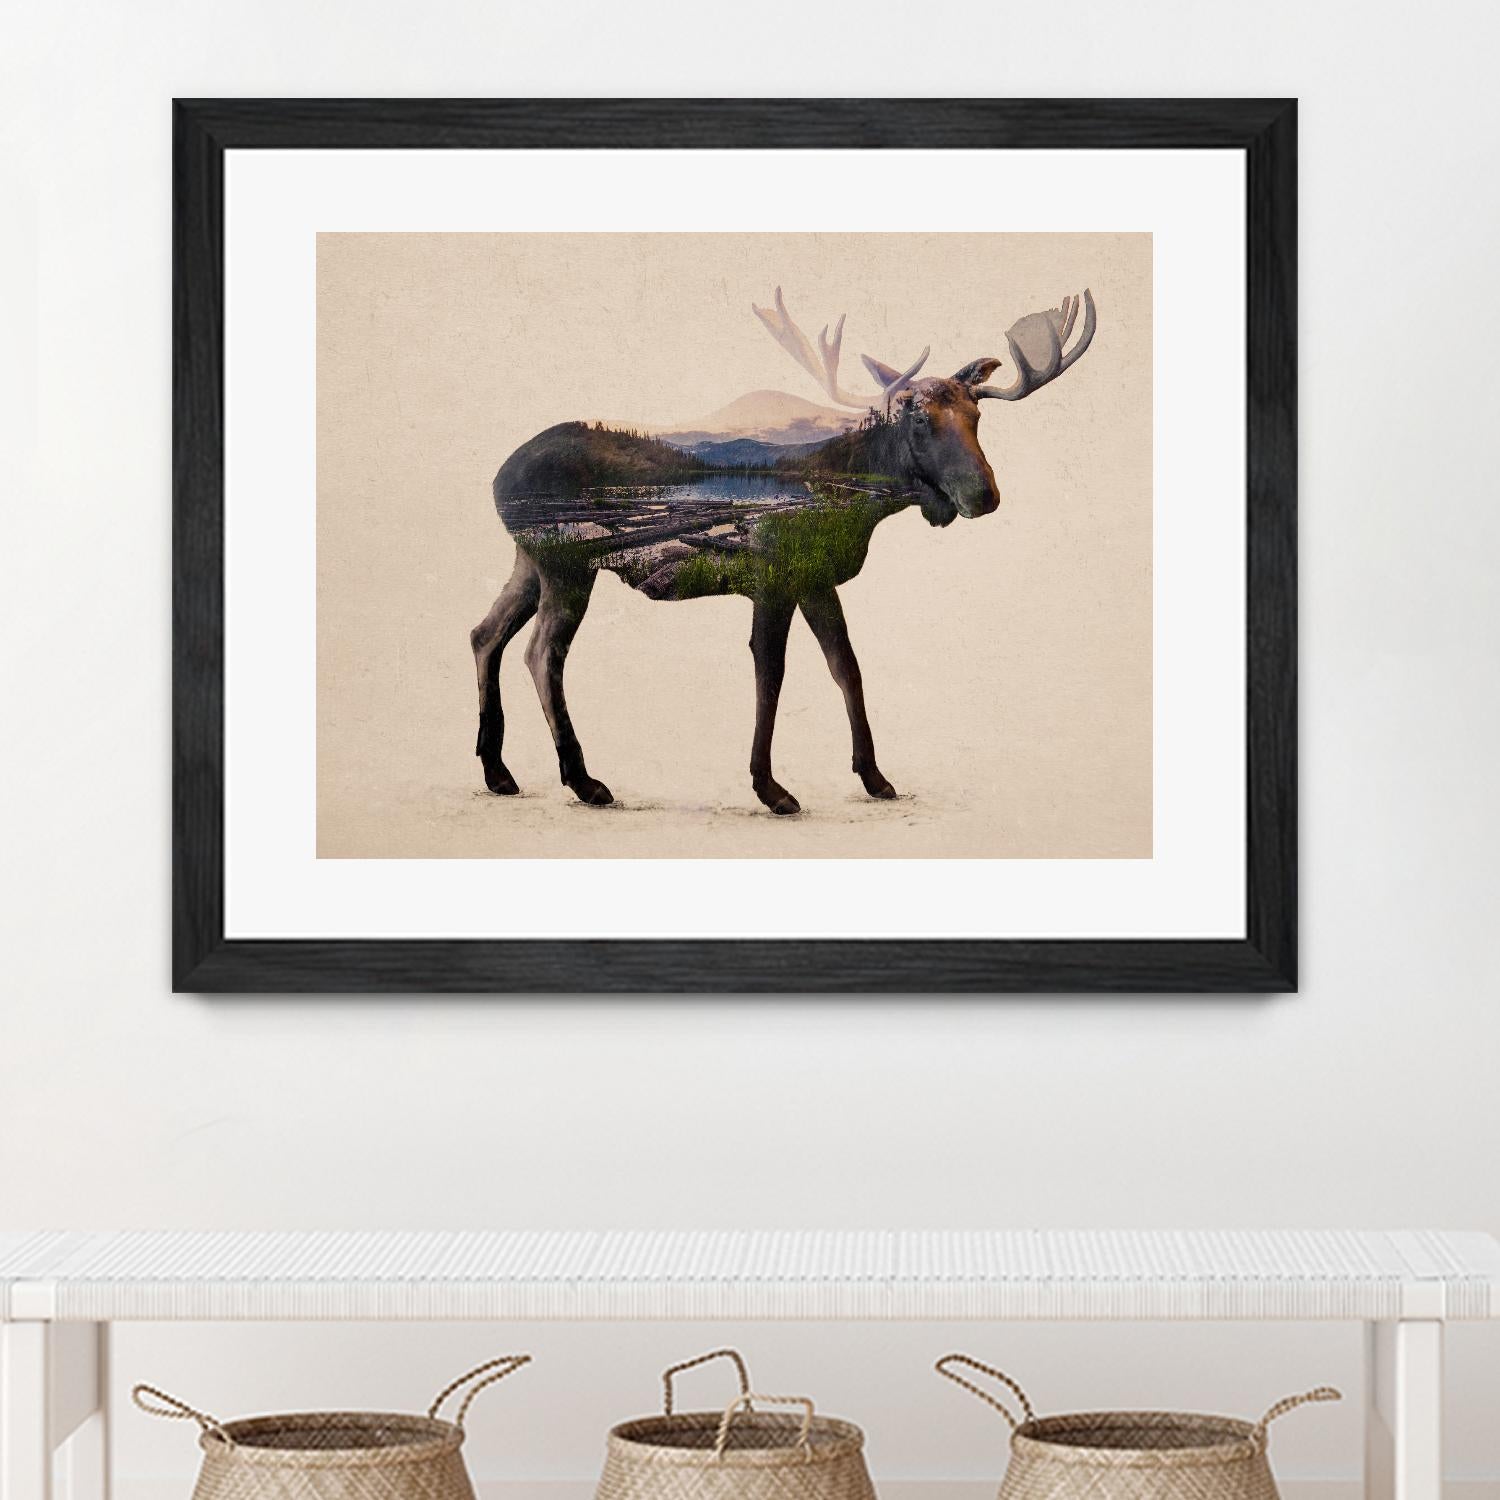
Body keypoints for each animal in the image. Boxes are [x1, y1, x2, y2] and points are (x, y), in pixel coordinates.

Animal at [471, 286, 1097, 815]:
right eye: (918, 417)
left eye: (977, 414)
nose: (983, 494)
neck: (858, 504)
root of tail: (497, 476)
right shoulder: (773, 579)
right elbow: (770, 673)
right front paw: (771, 788)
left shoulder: (817, 579)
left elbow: (847, 668)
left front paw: (876, 777)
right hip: (565, 563)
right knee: (541, 653)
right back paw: (584, 781)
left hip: (528, 562)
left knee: (485, 634)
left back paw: (499, 773)